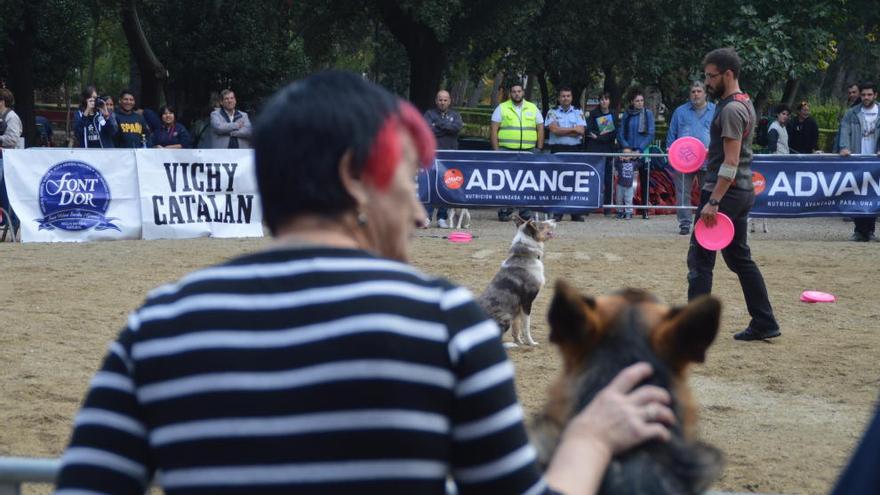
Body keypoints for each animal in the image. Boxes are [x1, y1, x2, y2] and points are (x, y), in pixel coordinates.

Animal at [478, 215, 552, 346]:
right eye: (542, 225)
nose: (554, 220)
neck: (527, 255)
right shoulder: (526, 302)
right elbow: (526, 327)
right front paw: (531, 343)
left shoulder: (517, 308)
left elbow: (516, 327)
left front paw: (519, 342)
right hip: (505, 317)